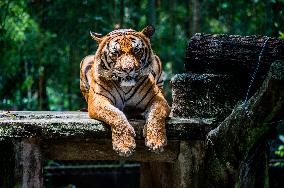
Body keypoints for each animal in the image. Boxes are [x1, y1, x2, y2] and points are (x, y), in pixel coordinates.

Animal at [79, 25, 170, 157]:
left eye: (136, 50)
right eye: (115, 53)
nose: (128, 69)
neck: (125, 87)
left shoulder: (158, 98)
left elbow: (156, 114)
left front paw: (156, 141)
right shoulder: (98, 100)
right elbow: (115, 114)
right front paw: (124, 145)